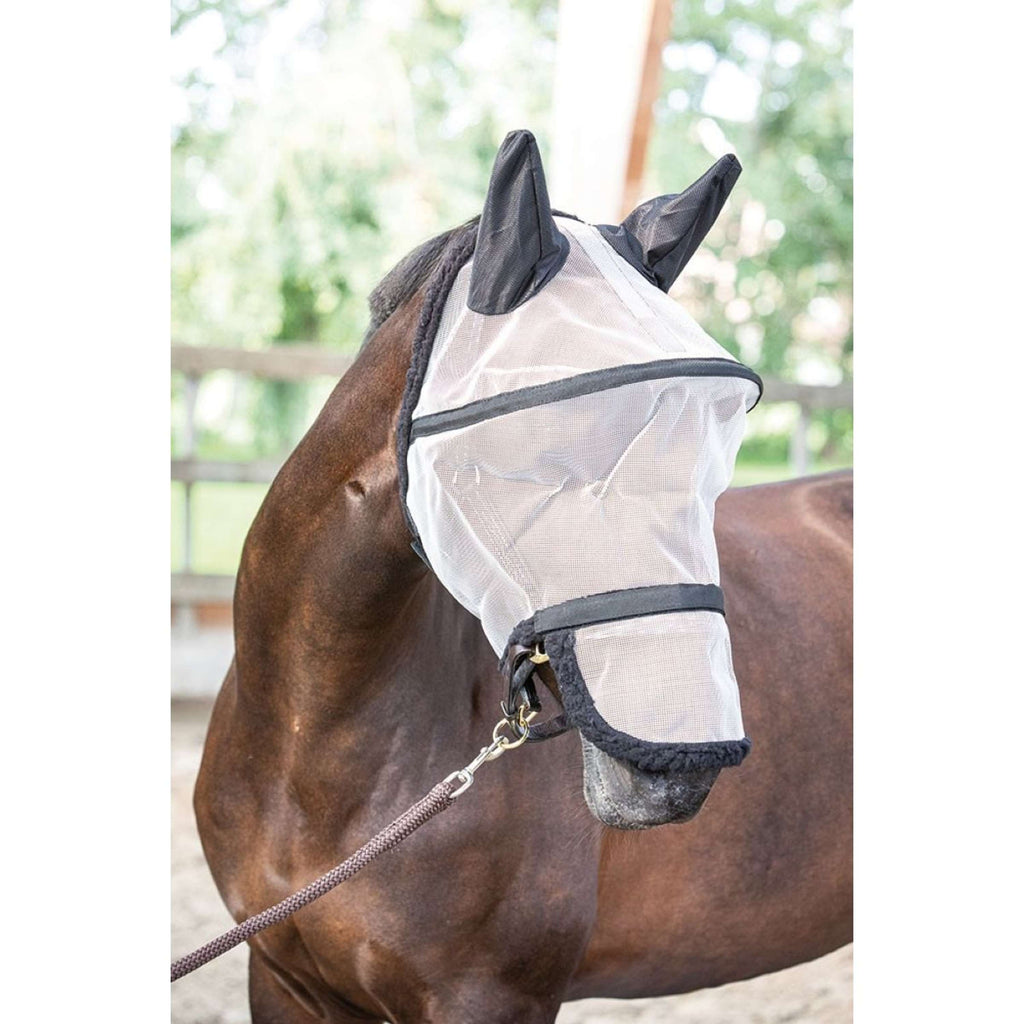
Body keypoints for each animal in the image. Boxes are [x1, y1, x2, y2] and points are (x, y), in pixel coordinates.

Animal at [194, 144, 852, 1024]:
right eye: (535, 455)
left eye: (711, 455)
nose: (678, 767)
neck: (310, 745)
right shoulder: (282, 981)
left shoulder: (491, 997)